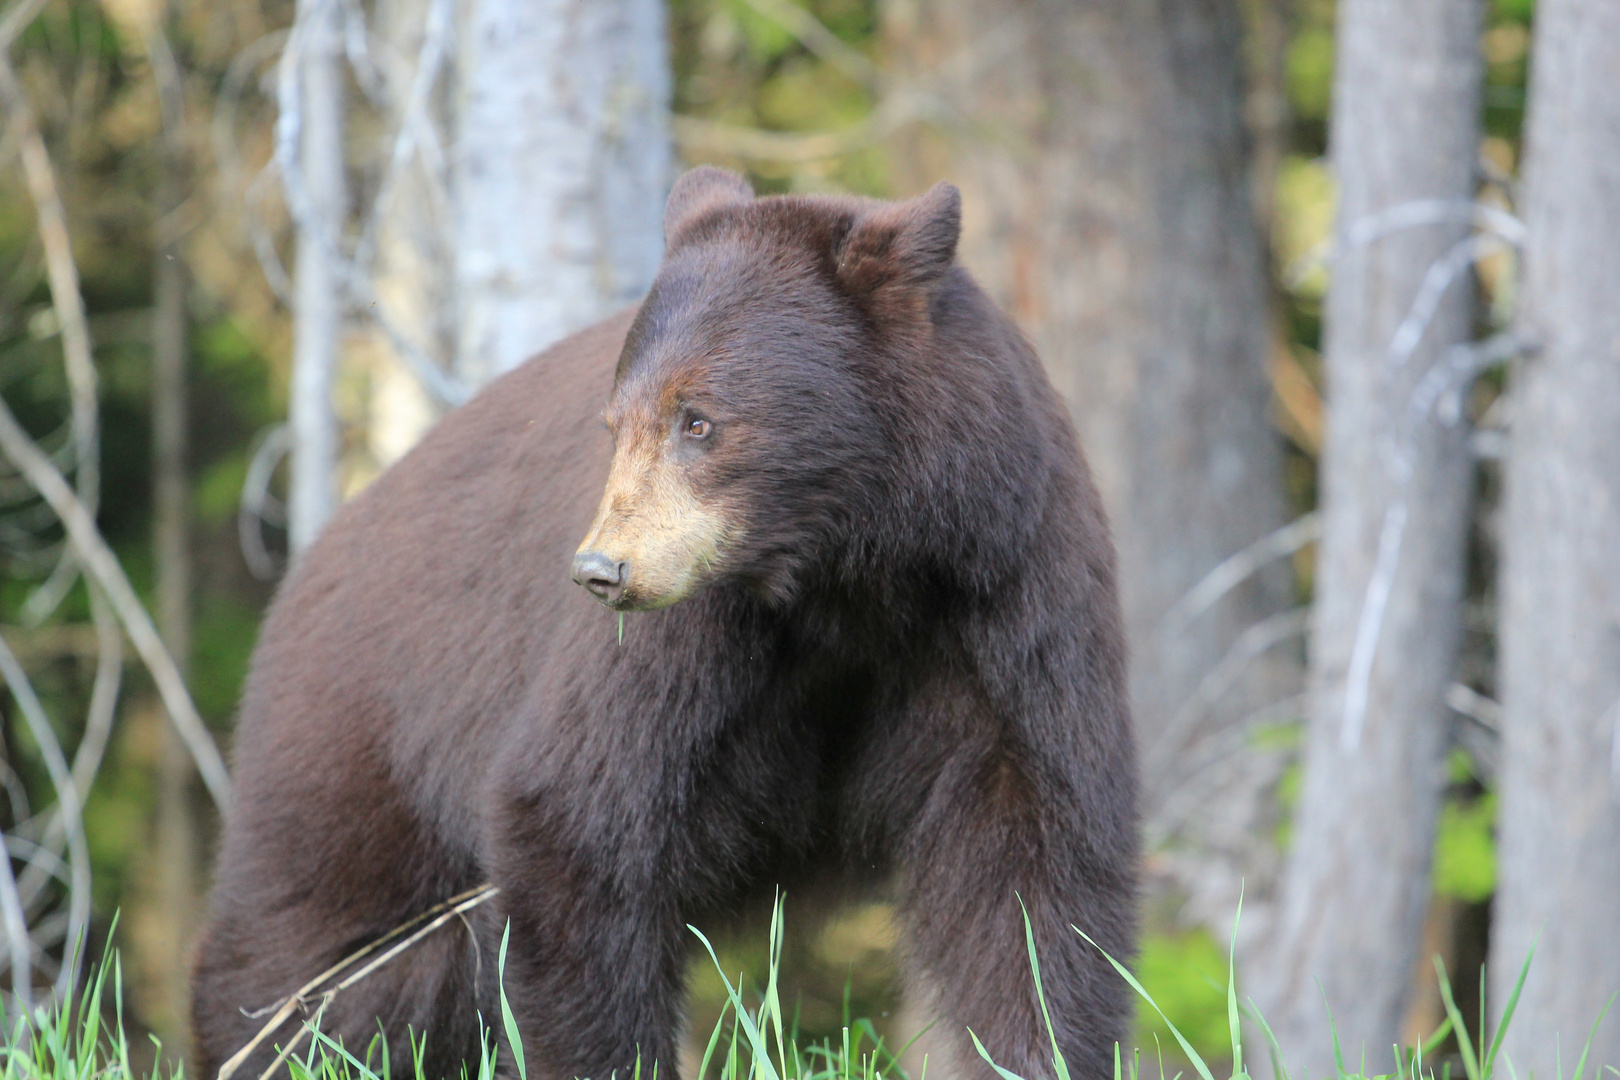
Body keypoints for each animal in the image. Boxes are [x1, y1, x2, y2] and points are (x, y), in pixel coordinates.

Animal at [192, 166, 1140, 1080]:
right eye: (615, 425)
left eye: (699, 420)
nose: (600, 570)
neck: (850, 576)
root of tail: (311, 560)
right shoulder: (685, 637)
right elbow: (576, 818)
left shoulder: (1006, 589)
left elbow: (1030, 850)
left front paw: (1038, 1049)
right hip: (360, 744)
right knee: (319, 955)